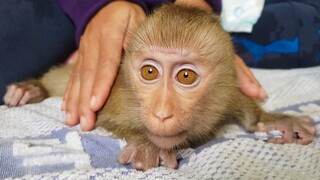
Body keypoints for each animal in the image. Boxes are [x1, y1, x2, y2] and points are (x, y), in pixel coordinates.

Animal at [3, 4, 316, 170]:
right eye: (149, 72)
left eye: (186, 76)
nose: (161, 113)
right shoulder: (114, 93)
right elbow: (104, 116)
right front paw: (147, 143)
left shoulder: (225, 89)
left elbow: (244, 107)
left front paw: (274, 119)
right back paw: (33, 88)